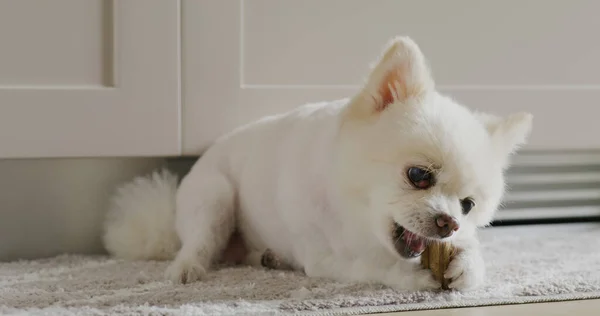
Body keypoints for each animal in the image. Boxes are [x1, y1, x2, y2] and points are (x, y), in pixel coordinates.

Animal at [102, 36, 528, 292]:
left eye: (468, 206)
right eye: (418, 175)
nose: (449, 223)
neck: (357, 218)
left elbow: (470, 254)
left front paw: (467, 263)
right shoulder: (325, 258)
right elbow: (369, 267)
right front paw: (406, 275)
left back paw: (267, 257)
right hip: (214, 196)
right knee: (199, 241)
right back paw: (187, 266)